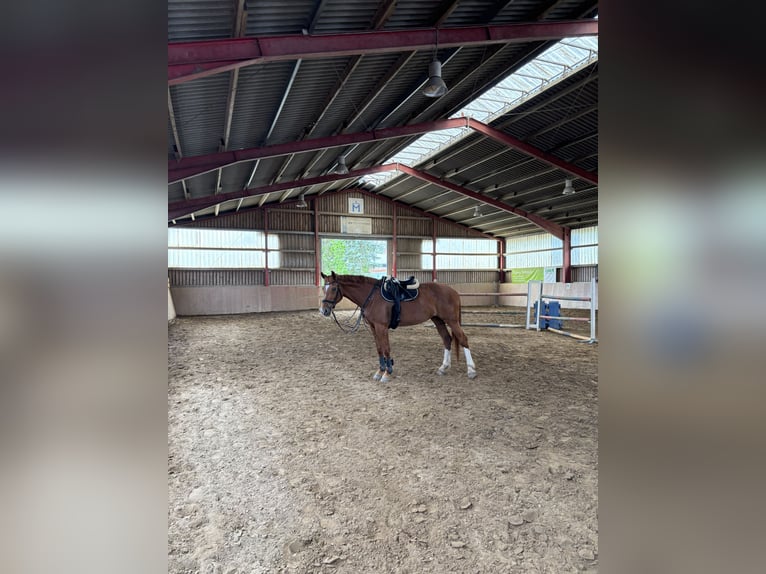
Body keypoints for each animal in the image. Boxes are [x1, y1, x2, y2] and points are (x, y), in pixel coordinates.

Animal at [319, 271, 477, 382]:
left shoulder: (381, 327)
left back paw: (471, 370)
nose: (324, 310)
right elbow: (379, 349)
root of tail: (453, 291)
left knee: (463, 339)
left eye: (334, 288)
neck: (372, 297)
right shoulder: (373, 328)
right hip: (438, 320)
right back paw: (443, 367)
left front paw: (387, 373)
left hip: (452, 321)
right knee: (447, 339)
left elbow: (386, 349)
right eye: (323, 288)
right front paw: (379, 371)